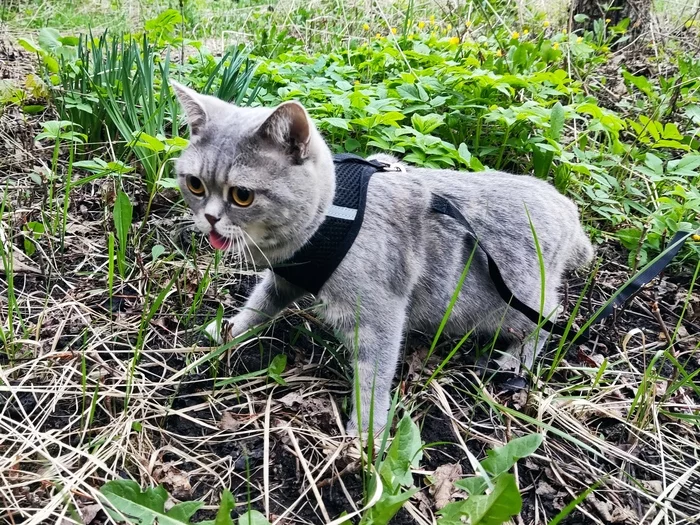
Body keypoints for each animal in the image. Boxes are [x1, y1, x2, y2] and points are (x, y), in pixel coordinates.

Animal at [172, 82, 592, 434]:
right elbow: (260, 304)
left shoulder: (379, 314)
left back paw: (515, 361)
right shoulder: (288, 276)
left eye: (242, 195)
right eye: (195, 185)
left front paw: (365, 436)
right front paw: (228, 330)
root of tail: (568, 207)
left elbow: (374, 376)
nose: (209, 217)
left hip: (507, 305)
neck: (328, 217)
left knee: (550, 317)